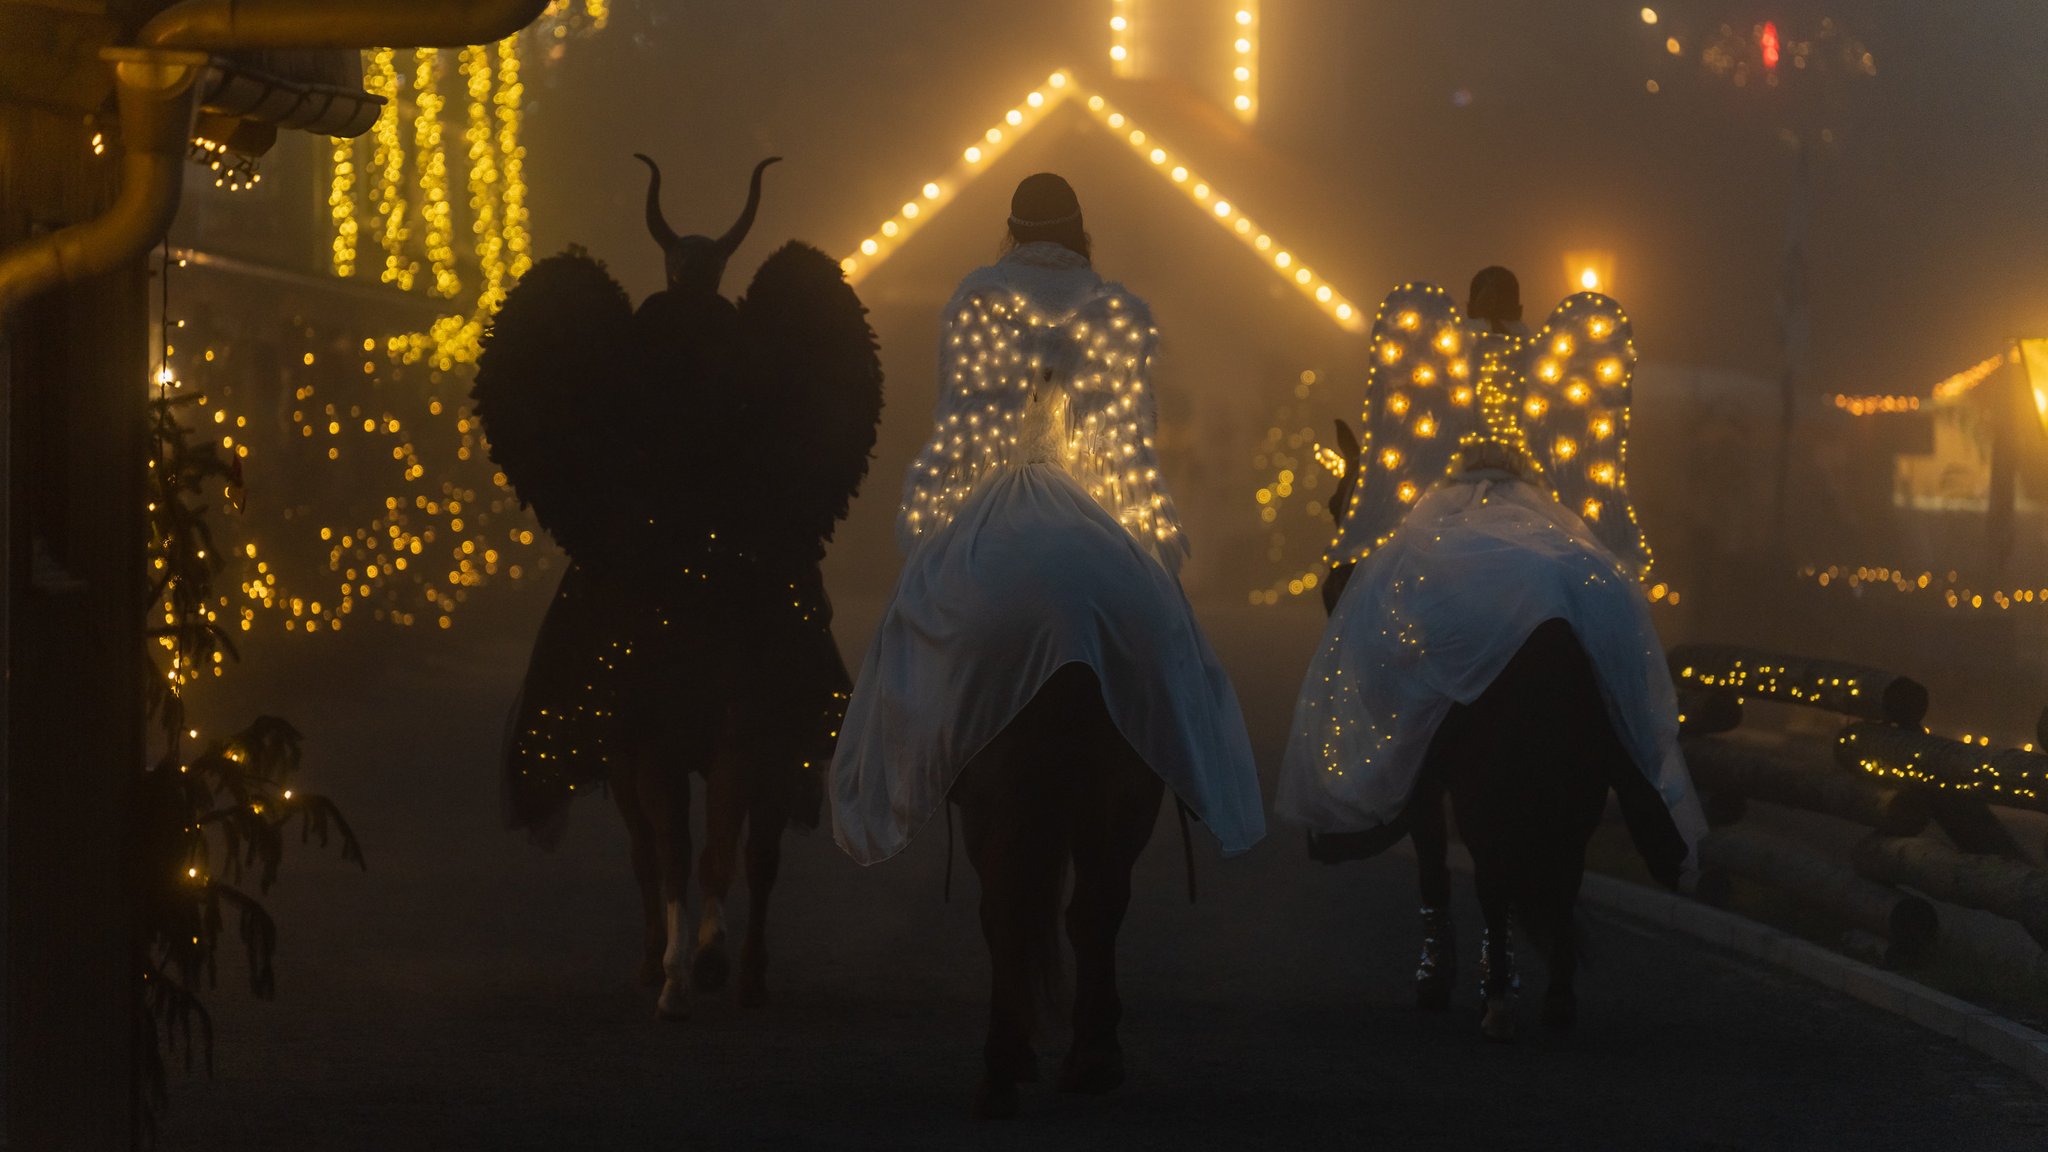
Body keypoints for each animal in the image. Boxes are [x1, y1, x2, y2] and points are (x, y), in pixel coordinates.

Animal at [1310, 416, 1679, 1037]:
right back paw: (1555, 1002)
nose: (1334, 587)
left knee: (1494, 873)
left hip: (1485, 781)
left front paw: (1441, 977)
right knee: (1561, 873)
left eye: (1343, 501)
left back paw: (1501, 1004)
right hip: (1576, 780)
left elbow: (1436, 864)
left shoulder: (1423, 768)